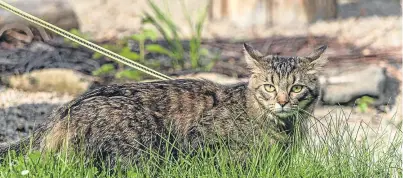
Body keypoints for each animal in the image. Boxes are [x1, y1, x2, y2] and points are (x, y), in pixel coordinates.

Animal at [0, 43, 328, 168]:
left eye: (296, 88)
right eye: (270, 87)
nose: (283, 102)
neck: (283, 129)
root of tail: (63, 109)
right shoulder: (201, 142)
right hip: (140, 146)